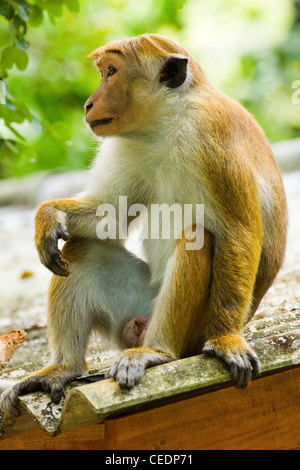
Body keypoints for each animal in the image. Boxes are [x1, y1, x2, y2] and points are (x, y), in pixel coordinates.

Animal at [0, 33, 288, 414]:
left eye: (111, 72)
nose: (89, 104)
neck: (167, 123)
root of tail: (141, 328)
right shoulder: (128, 145)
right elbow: (109, 214)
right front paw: (48, 216)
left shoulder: (213, 132)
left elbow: (239, 233)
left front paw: (227, 339)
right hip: (136, 305)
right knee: (83, 249)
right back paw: (63, 369)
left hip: (194, 329)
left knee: (196, 239)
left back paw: (157, 352)